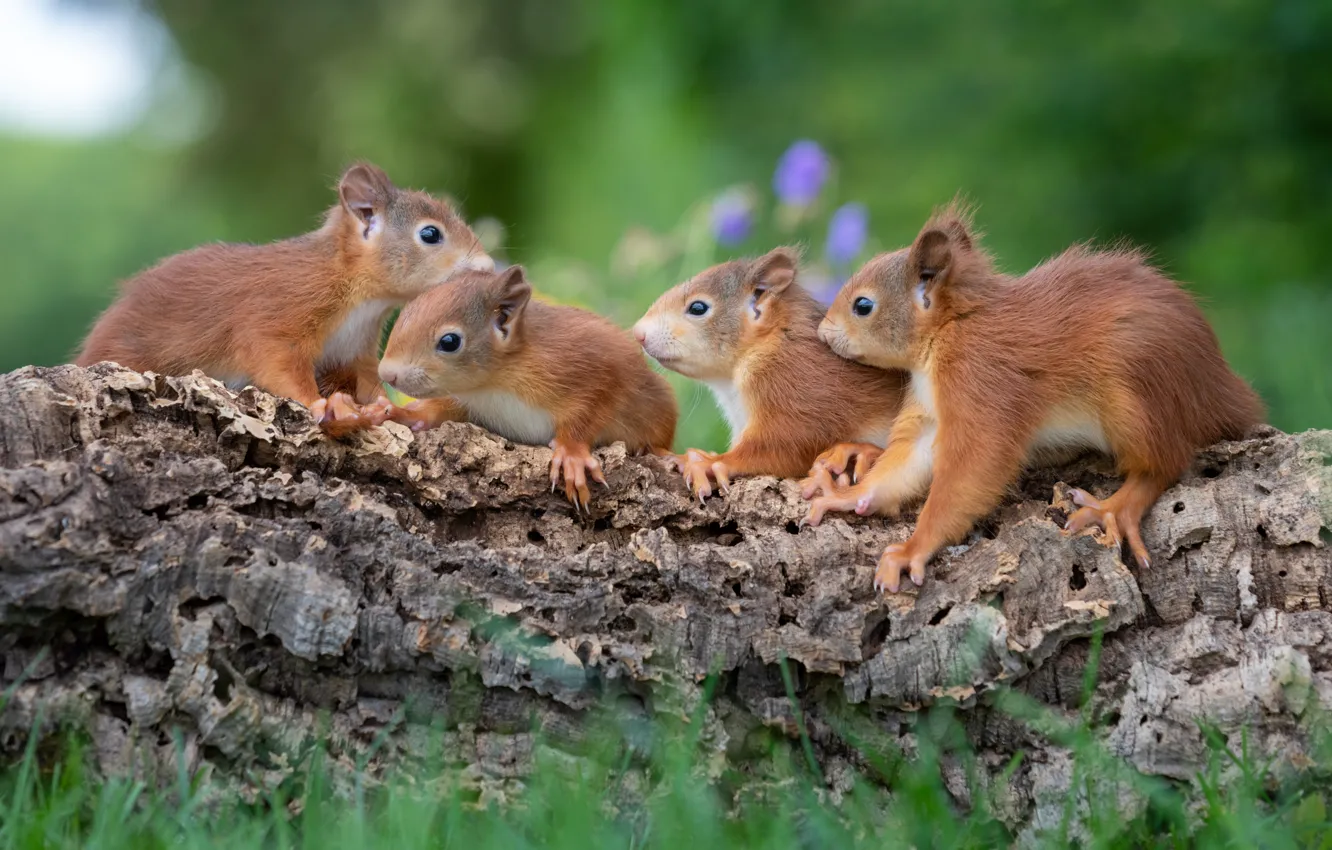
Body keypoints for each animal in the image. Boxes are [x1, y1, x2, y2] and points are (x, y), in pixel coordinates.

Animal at [76, 162, 493, 435]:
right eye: (430, 234)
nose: (488, 268)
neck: (361, 298)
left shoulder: (356, 350)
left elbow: (368, 380)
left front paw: (384, 406)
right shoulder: (281, 310)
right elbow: (276, 361)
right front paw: (319, 403)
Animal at [371, 265, 678, 510]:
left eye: (450, 341)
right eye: (407, 310)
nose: (387, 373)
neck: (494, 385)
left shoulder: (592, 369)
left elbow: (594, 407)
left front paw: (571, 453)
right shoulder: (469, 401)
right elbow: (439, 410)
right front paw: (403, 413)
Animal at [804, 202, 1265, 593]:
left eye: (863, 305)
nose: (822, 334)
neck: (950, 330)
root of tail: (1222, 391)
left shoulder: (983, 382)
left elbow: (971, 470)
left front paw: (912, 549)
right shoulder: (929, 414)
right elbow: (903, 464)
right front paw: (845, 496)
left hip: (1135, 395)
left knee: (1166, 462)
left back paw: (1114, 508)